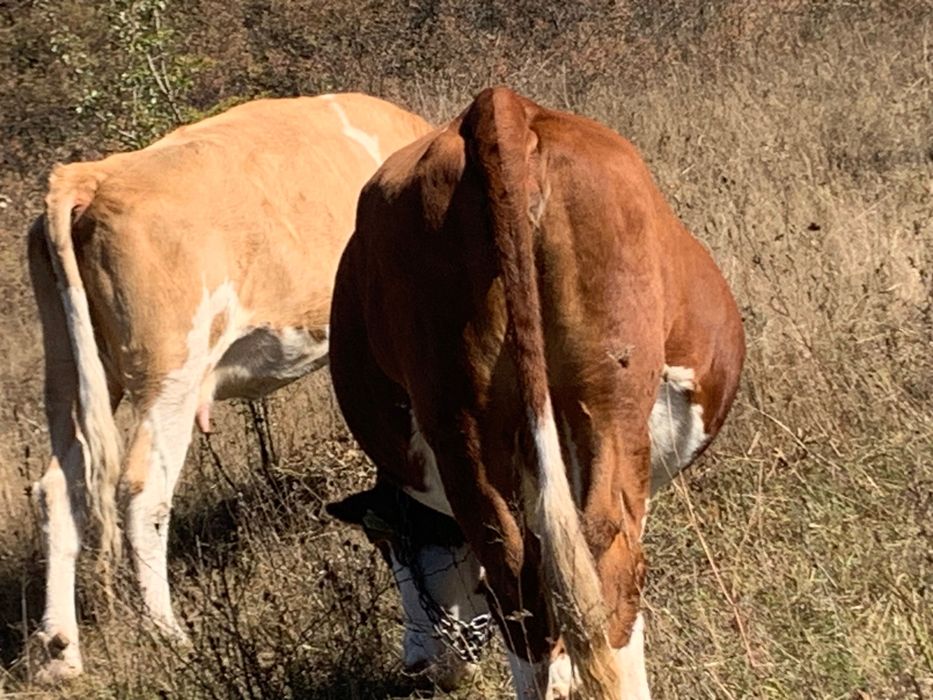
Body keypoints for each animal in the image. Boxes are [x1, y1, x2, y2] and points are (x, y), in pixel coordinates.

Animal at [26, 93, 433, 682]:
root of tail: (93, 174)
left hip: (72, 375)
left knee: (58, 488)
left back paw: (62, 653)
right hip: (170, 370)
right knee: (142, 490)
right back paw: (168, 634)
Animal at [326, 87, 745, 698]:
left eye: (392, 547)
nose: (418, 664)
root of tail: (499, 108)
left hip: (466, 419)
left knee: (522, 578)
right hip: (608, 409)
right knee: (600, 573)